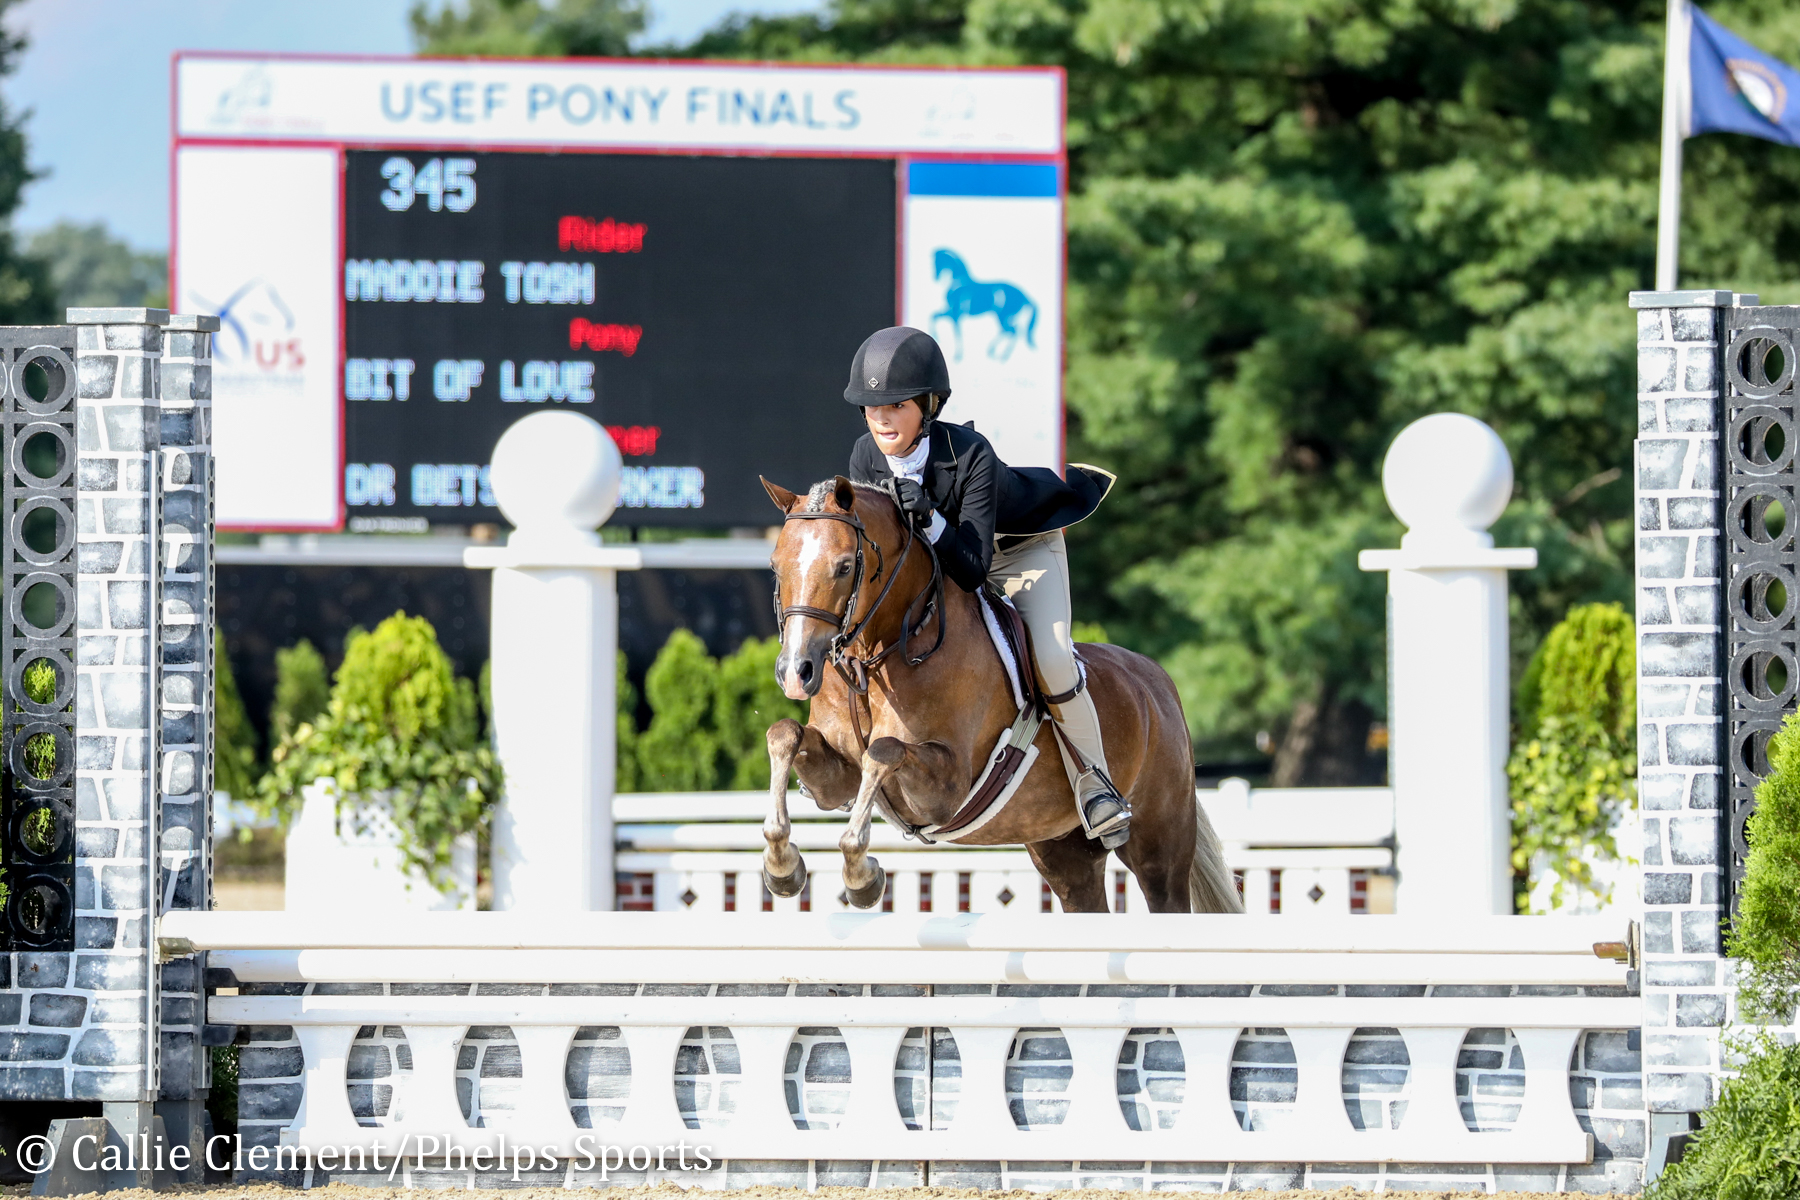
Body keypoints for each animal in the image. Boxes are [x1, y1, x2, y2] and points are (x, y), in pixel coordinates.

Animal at [756, 474, 1238, 913]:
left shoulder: (946, 790)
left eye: (843, 566)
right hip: (1064, 852)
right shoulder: (836, 780)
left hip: (1159, 849)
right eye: (775, 565)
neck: (880, 652)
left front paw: (863, 877)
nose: (796, 672)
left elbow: (884, 750)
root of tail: (1157, 682)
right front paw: (782, 867)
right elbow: (783, 734)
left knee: (1165, 891)